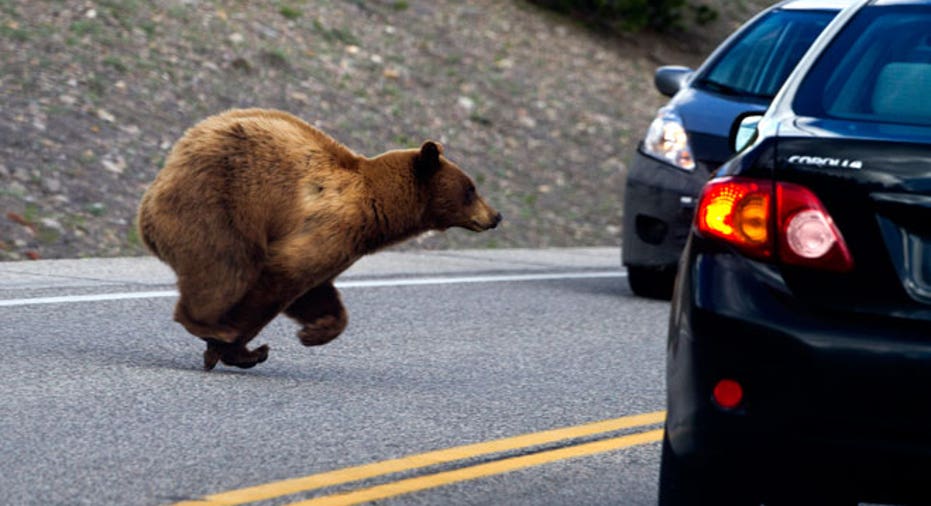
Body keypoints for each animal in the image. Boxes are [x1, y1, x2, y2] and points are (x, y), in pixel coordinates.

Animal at [137, 109, 502, 372]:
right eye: (471, 189)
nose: (496, 215)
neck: (379, 209)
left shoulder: (342, 245)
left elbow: (315, 290)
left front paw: (314, 332)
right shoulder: (333, 226)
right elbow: (280, 277)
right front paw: (239, 346)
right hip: (217, 206)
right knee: (227, 268)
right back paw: (209, 325)